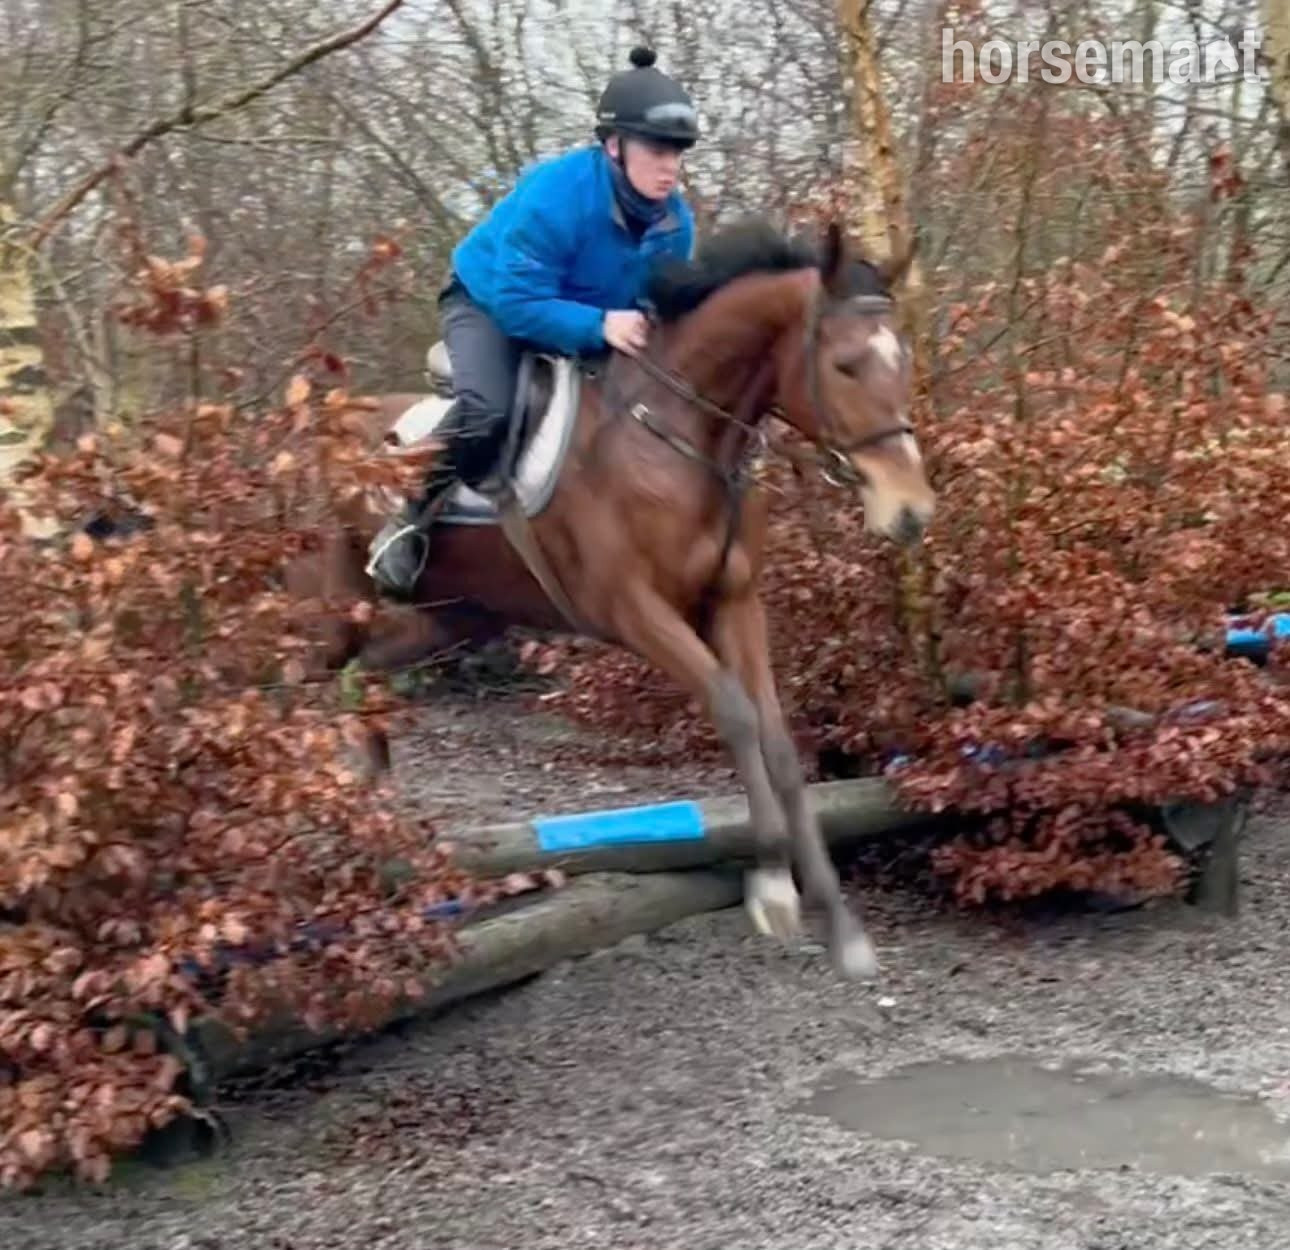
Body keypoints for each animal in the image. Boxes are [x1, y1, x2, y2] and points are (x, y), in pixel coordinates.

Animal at [285, 216, 935, 979]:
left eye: (902, 361)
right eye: (844, 366)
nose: (910, 512)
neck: (679, 433)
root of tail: (299, 442)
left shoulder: (734, 602)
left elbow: (776, 740)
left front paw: (841, 925)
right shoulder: (632, 609)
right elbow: (734, 711)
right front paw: (774, 886)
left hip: (451, 620)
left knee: (363, 687)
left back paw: (379, 833)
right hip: (322, 619)